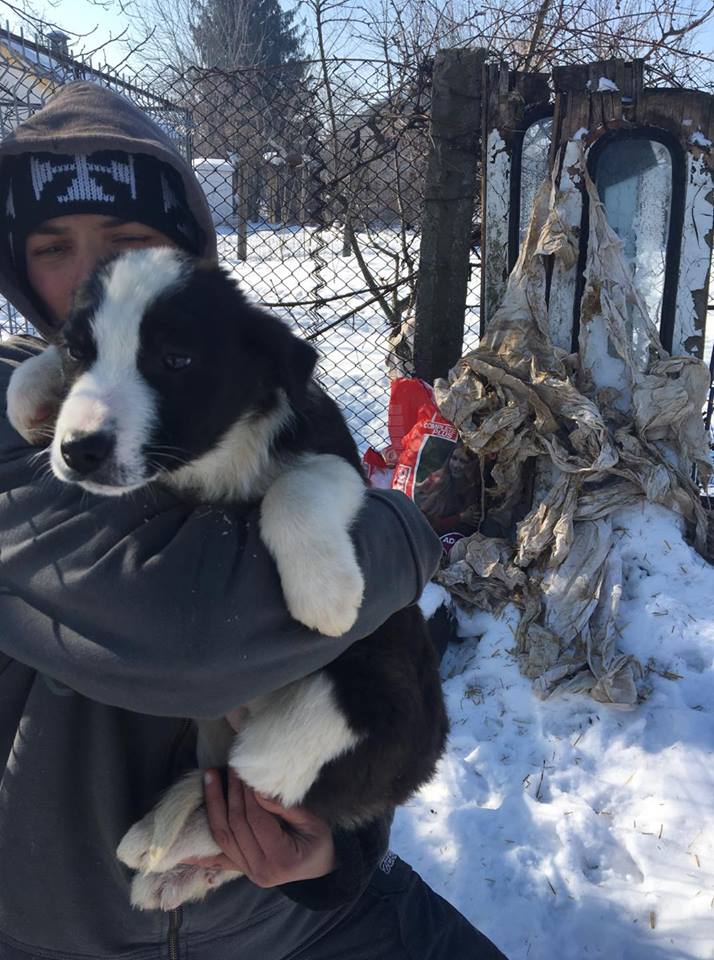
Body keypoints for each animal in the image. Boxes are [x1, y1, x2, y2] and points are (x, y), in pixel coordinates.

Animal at [8, 248, 448, 908]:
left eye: (176, 360)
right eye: (81, 352)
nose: (79, 450)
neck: (216, 458)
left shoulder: (334, 461)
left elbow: (296, 487)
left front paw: (327, 596)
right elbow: (33, 369)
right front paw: (32, 392)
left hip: (343, 715)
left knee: (252, 793)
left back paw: (162, 844)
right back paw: (170, 860)